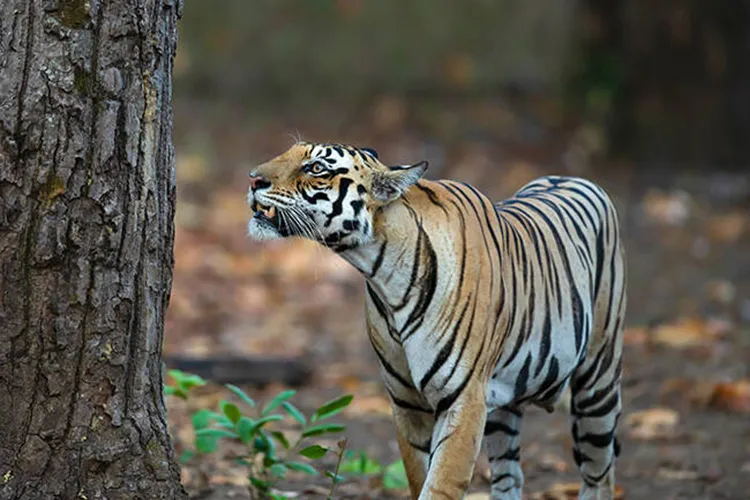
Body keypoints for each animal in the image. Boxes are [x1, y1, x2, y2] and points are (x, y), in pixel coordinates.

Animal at [247, 142, 628, 500]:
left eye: (316, 168)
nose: (252, 179)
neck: (382, 273)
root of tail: (572, 177)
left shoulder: (464, 398)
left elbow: (440, 485)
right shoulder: (407, 402)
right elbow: (420, 477)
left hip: (598, 383)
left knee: (600, 475)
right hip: (503, 407)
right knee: (509, 475)